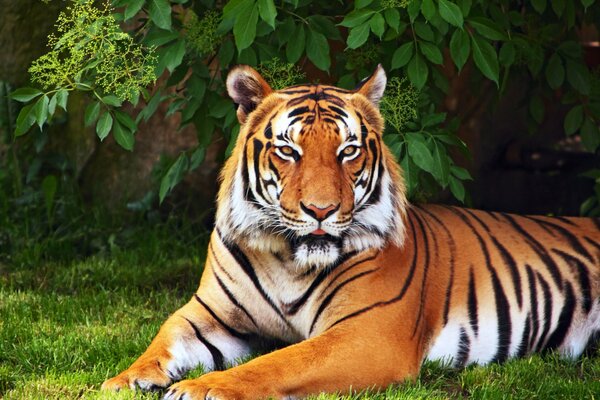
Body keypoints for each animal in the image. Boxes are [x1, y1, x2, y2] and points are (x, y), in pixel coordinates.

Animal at [102, 64, 600, 398]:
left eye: (348, 151)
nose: (321, 210)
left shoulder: (366, 333)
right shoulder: (210, 314)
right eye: (288, 150)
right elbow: (163, 339)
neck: (287, 258)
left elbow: (278, 362)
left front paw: (204, 387)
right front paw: (124, 380)